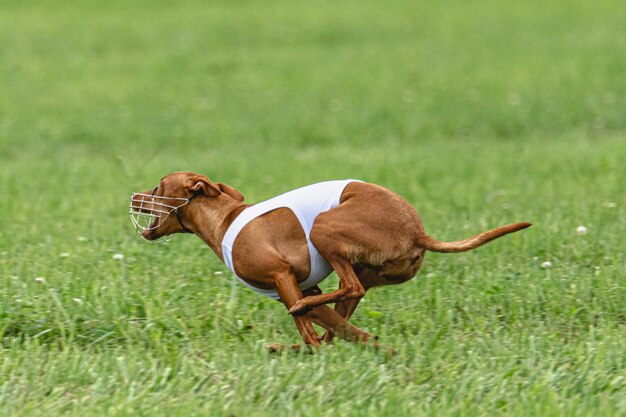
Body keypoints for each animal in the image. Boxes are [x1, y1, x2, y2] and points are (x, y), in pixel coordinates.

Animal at [129, 172, 528, 348]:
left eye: (158, 188)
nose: (133, 196)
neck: (225, 220)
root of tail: (418, 230)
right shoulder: (301, 285)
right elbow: (328, 326)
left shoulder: (283, 277)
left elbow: (310, 327)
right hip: (363, 269)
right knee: (346, 302)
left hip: (325, 227)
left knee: (346, 290)